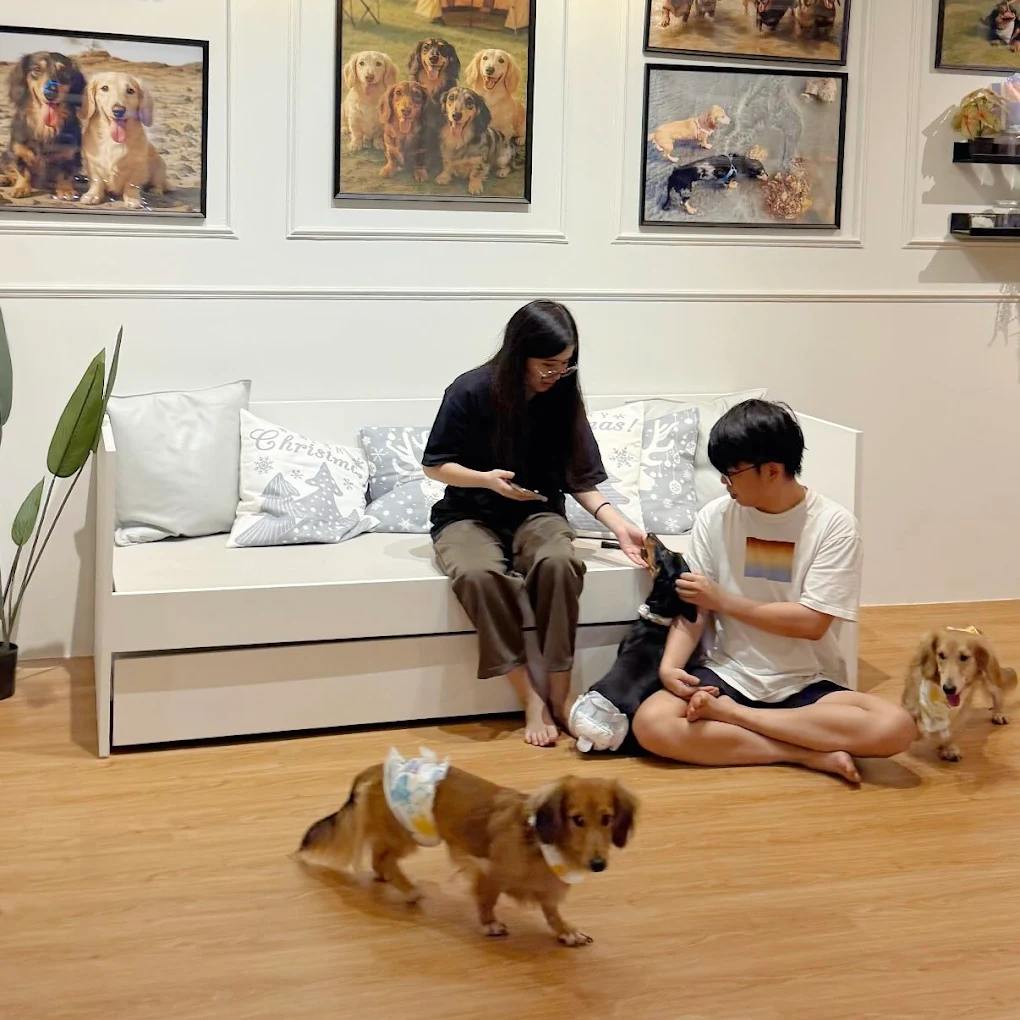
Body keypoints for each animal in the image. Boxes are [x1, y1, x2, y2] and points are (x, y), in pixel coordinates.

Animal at [0, 51, 85, 200]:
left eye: (64, 71)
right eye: (37, 69)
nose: (50, 93)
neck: (45, 127)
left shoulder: (71, 156)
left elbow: (65, 174)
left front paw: (66, 190)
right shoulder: (18, 151)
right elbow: (22, 171)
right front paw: (21, 188)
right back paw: (5, 179)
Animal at [79, 72, 167, 209]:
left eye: (130, 90)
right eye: (104, 88)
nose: (118, 110)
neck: (112, 140)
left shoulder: (137, 167)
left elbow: (131, 185)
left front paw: (133, 199)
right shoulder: (93, 165)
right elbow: (97, 181)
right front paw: (92, 195)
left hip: (159, 167)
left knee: (159, 184)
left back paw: (155, 191)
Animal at [298, 749, 637, 946]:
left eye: (607, 819)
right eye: (577, 819)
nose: (598, 864)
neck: (540, 842)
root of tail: (373, 770)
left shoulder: (547, 890)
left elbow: (551, 912)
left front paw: (566, 931)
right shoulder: (488, 872)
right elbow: (487, 900)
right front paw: (490, 925)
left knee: (380, 859)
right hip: (410, 834)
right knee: (382, 859)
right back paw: (409, 890)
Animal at [902, 626, 1017, 762]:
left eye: (964, 657)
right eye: (941, 655)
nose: (948, 689)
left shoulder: (960, 710)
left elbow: (948, 731)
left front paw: (948, 748)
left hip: (990, 679)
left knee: (998, 695)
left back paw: (998, 714)